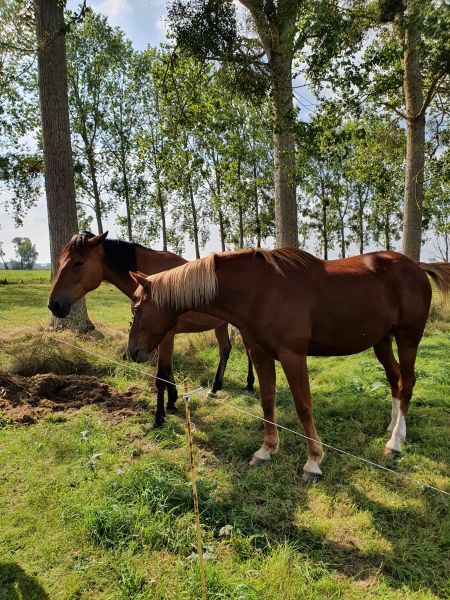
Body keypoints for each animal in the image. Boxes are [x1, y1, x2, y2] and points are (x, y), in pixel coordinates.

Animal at [48, 231, 255, 426]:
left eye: (78, 262)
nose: (54, 304)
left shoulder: (166, 335)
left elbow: (161, 375)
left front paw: (159, 416)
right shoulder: (157, 335)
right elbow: (168, 370)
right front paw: (172, 400)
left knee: (248, 352)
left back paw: (249, 384)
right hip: (220, 325)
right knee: (225, 350)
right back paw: (215, 388)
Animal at [126, 247, 450, 478]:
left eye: (138, 308)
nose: (132, 352)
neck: (259, 292)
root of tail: (416, 266)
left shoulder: (293, 356)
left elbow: (303, 406)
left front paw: (313, 461)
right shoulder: (260, 354)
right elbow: (267, 400)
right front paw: (266, 450)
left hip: (408, 339)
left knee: (407, 384)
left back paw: (395, 443)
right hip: (381, 341)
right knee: (395, 380)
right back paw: (395, 428)